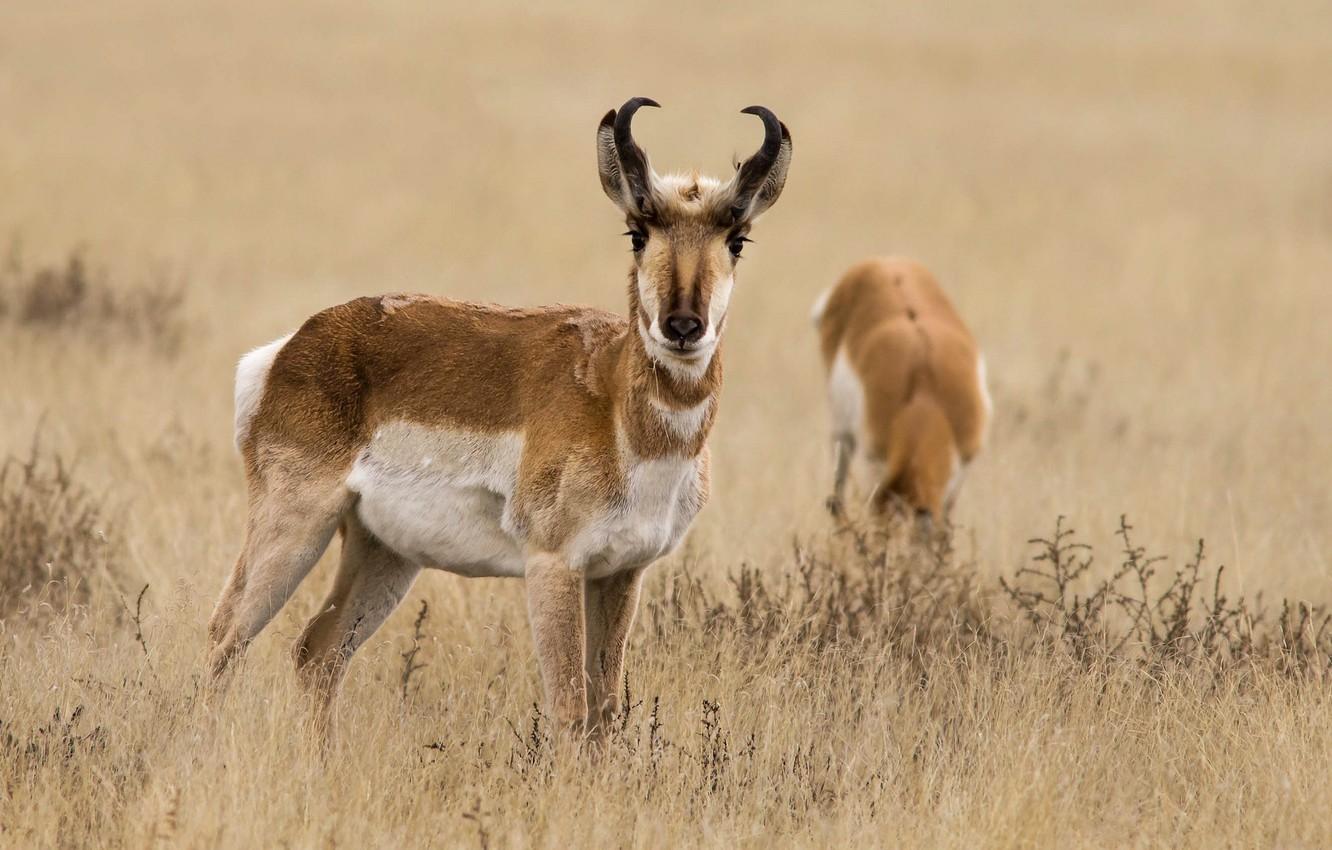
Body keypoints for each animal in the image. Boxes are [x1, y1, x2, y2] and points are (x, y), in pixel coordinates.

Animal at [207, 98, 788, 740]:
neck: (613, 400)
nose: (683, 326)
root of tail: (295, 344)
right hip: (296, 524)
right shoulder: (553, 566)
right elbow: (569, 708)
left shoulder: (621, 573)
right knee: (225, 636)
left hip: (384, 551)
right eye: (638, 233)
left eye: (737, 239)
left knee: (318, 651)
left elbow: (605, 710)